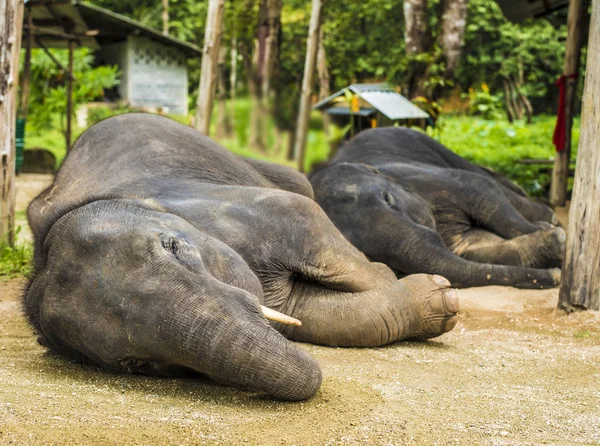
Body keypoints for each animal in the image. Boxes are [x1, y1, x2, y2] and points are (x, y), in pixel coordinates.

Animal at [21, 114, 458, 400]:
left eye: (172, 246)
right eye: (137, 365)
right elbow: (304, 313)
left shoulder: (257, 211)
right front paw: (438, 299)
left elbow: (310, 222)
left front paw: (438, 293)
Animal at [312, 128, 564, 290]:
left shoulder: (430, 180)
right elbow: (476, 249)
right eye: (366, 253)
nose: (553, 278)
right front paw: (552, 250)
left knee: (485, 178)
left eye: (388, 199)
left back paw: (550, 219)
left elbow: (482, 192)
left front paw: (553, 235)